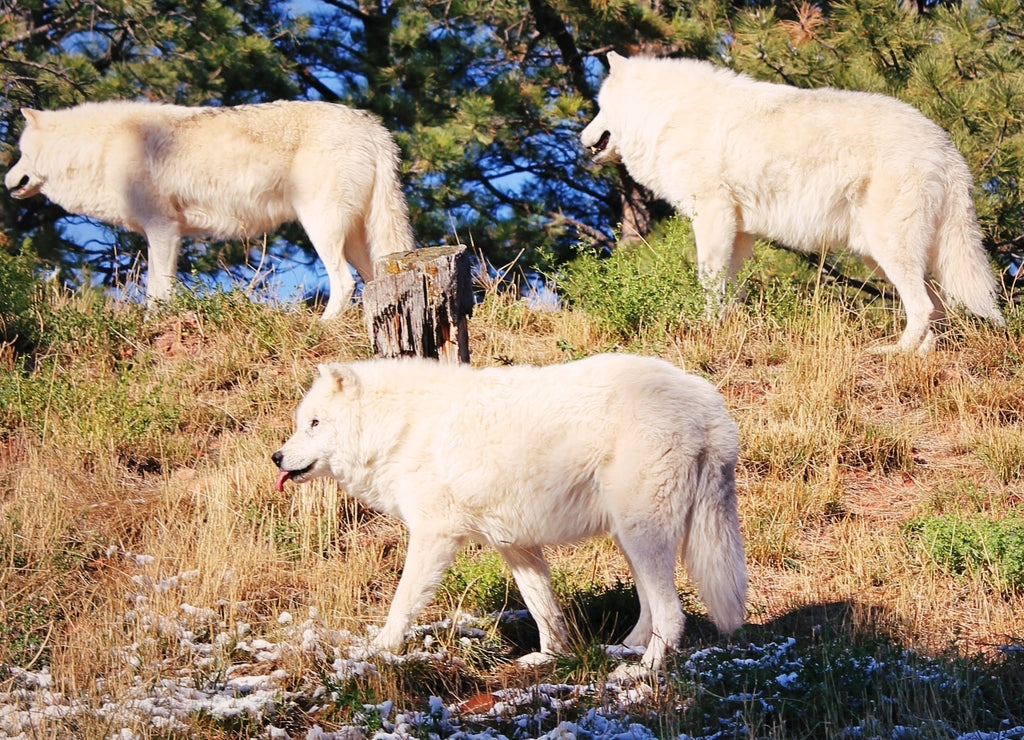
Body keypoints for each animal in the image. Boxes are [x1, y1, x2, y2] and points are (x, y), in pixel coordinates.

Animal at [4, 99, 411, 319]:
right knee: (371, 282)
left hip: (321, 227)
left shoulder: (163, 229)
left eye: (21, 151)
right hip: (358, 240)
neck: (102, 147)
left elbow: (156, 292)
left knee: (344, 283)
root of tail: (374, 128)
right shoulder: (167, 233)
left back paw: (319, 326)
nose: (8, 182)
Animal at [276, 354, 749, 675]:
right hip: (630, 537)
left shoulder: (433, 537)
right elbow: (544, 610)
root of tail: (708, 401)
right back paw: (624, 649)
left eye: (315, 424)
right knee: (650, 605)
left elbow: (401, 605)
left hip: (643, 533)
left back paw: (642, 671)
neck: (402, 429)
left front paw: (377, 651)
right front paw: (548, 657)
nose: (276, 457)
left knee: (671, 614)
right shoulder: (516, 546)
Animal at [581, 52, 1003, 354]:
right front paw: (728, 325)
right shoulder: (739, 231)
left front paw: (707, 327)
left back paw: (893, 353)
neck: (667, 116)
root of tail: (946, 145)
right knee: (937, 305)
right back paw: (921, 355)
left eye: (599, 106)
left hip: (890, 250)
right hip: (878, 254)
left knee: (924, 306)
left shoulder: (713, 215)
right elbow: (732, 287)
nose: (582, 138)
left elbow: (708, 280)